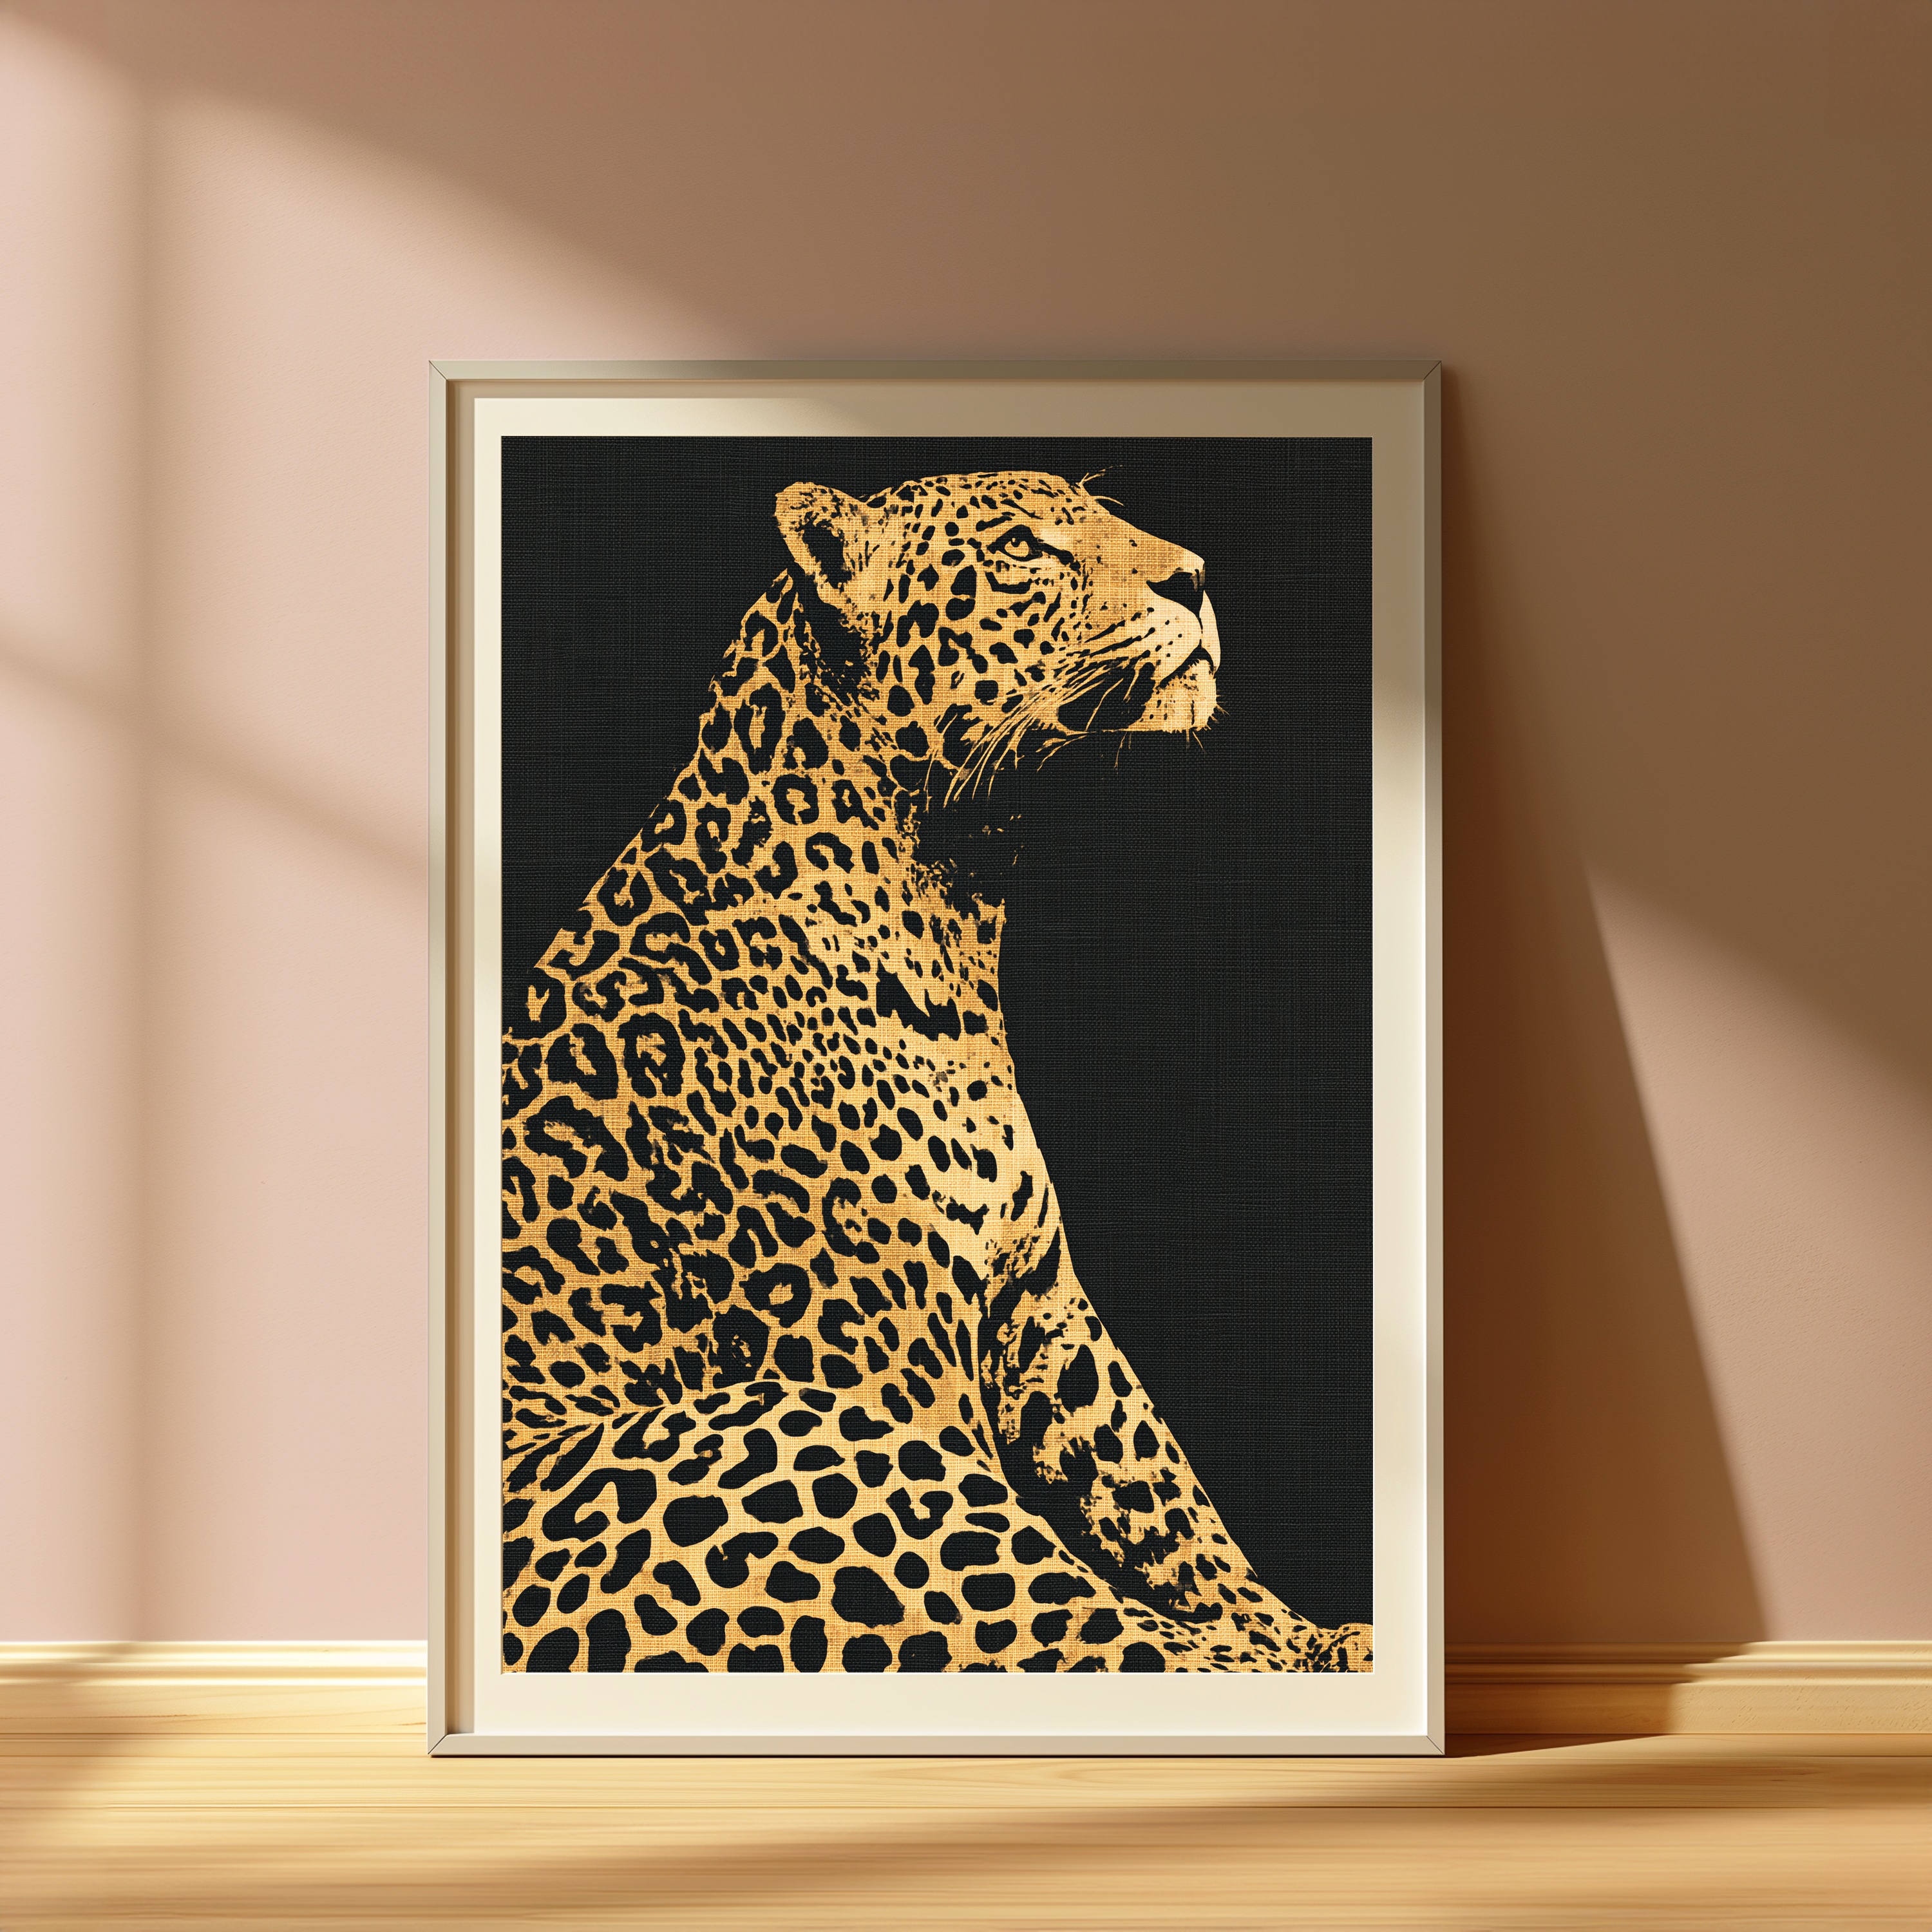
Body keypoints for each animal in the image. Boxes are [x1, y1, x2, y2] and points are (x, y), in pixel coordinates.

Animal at [500, 467, 1373, 1676]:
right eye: (1022, 548)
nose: (1196, 578)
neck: (956, 909)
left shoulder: (1043, 1302)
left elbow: (1160, 1490)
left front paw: (1283, 1624)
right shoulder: (877, 1347)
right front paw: (1286, 1647)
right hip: (790, 1436)